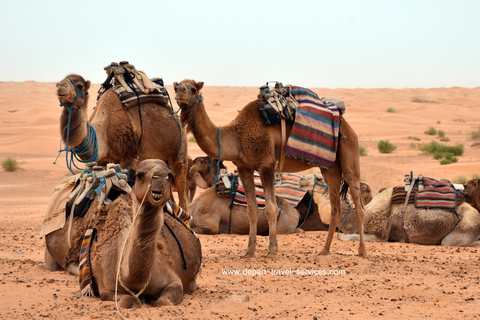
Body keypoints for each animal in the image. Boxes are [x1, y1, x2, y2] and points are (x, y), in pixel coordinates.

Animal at [56, 74, 189, 210]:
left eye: (80, 86)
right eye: (61, 81)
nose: (61, 86)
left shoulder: (128, 157)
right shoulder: (100, 160)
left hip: (179, 149)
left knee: (181, 181)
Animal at [89, 159, 202, 308]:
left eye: (169, 175)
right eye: (139, 174)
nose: (159, 177)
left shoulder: (173, 280)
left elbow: (163, 301)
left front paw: (153, 299)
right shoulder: (105, 288)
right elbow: (129, 300)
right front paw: (140, 299)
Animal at [174, 79, 366, 258]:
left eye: (193, 89)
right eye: (177, 87)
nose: (180, 93)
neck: (237, 137)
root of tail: (344, 122)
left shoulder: (266, 165)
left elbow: (271, 208)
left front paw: (272, 250)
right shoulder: (244, 168)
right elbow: (252, 210)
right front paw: (249, 252)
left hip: (349, 149)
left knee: (357, 200)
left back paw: (362, 251)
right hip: (330, 168)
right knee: (335, 208)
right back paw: (324, 250)